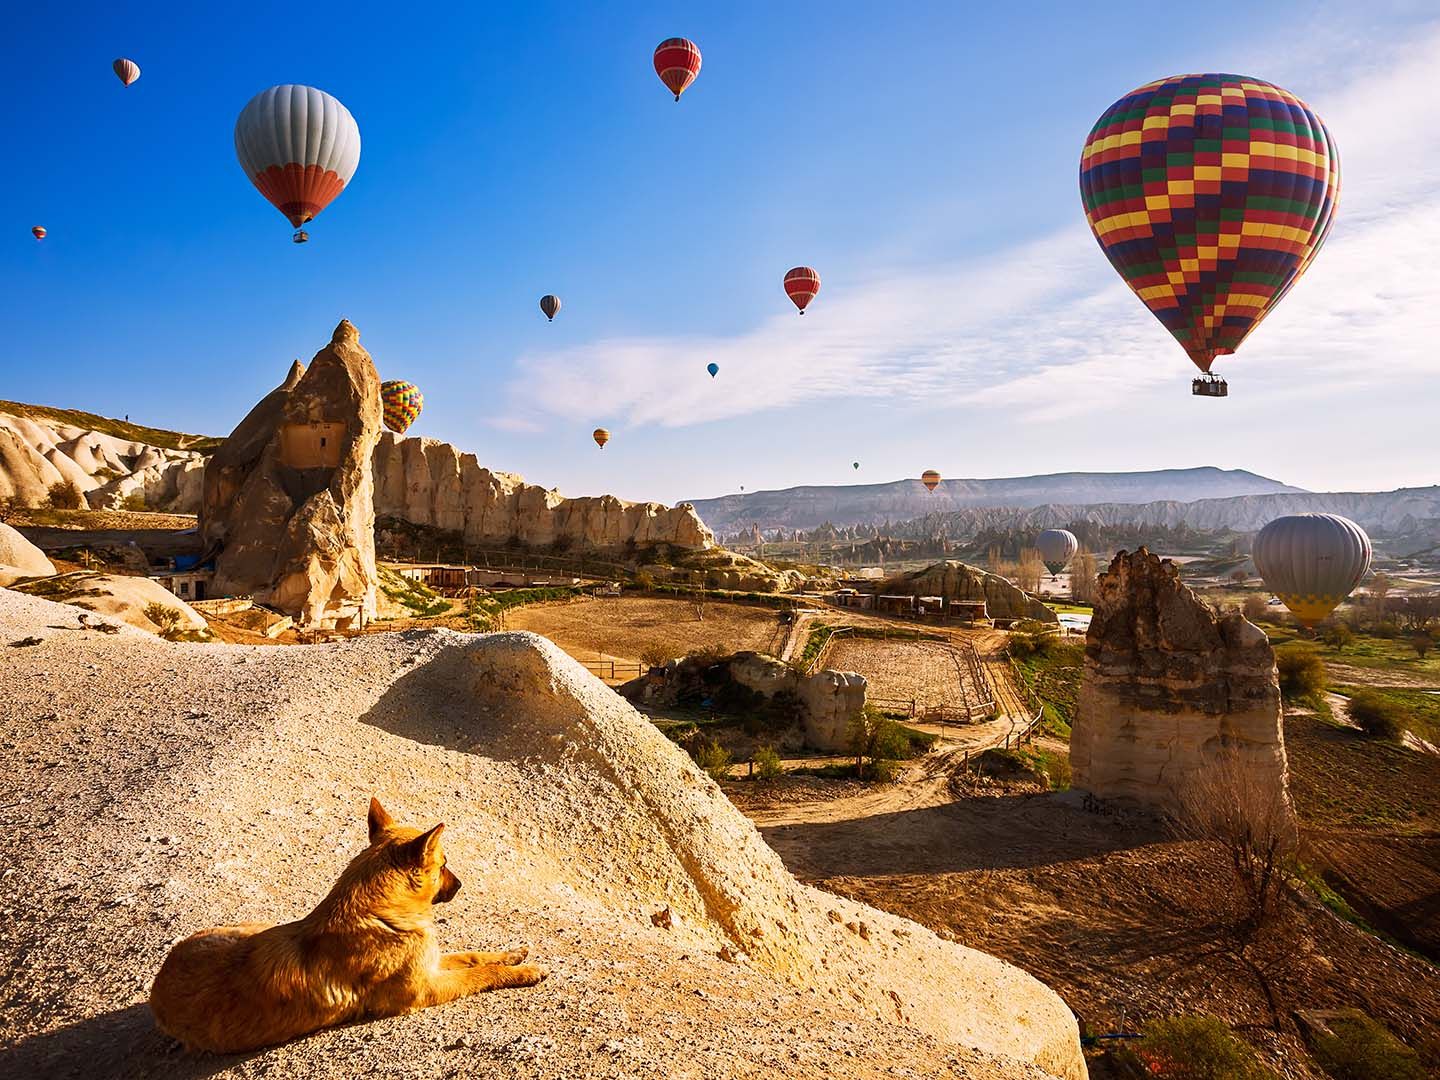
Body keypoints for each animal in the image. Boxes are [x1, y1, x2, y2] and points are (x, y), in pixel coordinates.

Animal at [150, 794, 544, 1059]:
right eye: (444, 863)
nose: (462, 884)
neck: (378, 912)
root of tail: (157, 986)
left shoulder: (432, 963)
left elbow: (475, 956)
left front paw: (514, 954)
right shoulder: (424, 989)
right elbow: (479, 974)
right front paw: (522, 972)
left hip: (251, 928)